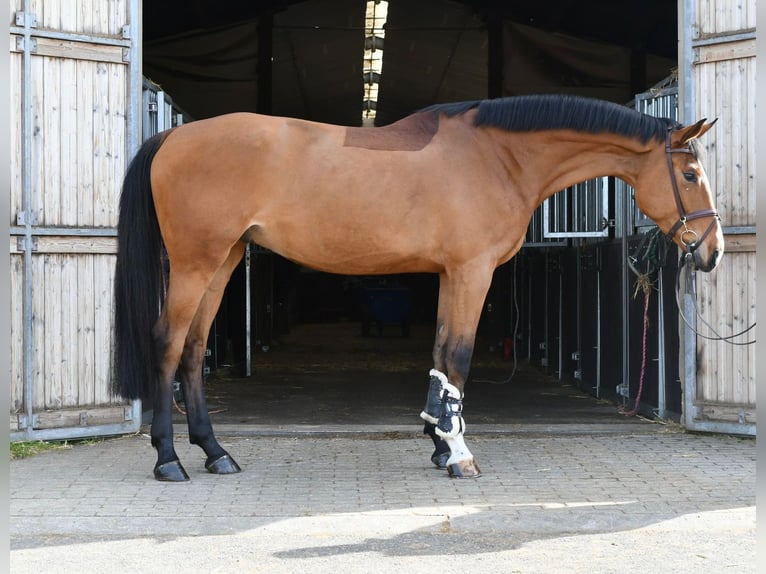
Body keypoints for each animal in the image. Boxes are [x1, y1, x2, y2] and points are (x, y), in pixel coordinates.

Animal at [114, 94, 723, 481]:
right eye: (690, 175)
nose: (711, 251)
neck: (498, 157)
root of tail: (173, 135)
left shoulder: (452, 274)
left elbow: (440, 357)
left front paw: (438, 442)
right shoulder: (473, 271)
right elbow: (459, 357)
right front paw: (458, 455)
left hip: (223, 261)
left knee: (193, 350)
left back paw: (216, 452)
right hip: (196, 263)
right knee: (167, 345)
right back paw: (169, 460)